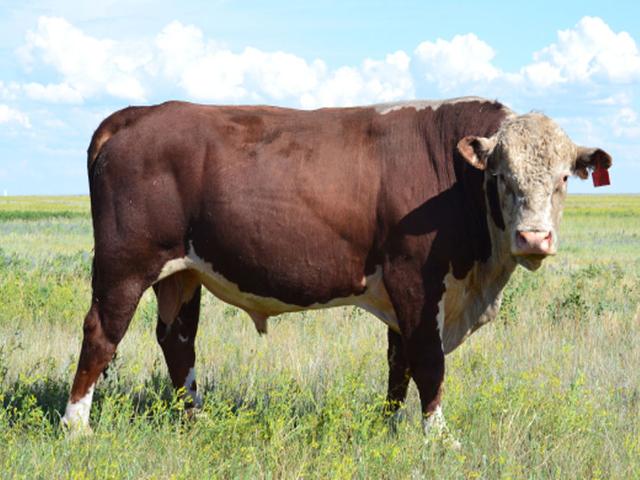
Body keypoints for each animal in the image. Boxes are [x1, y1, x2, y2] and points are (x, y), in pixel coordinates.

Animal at [61, 97, 611, 437]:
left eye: (564, 178)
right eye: (499, 176)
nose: (534, 238)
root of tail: (137, 114)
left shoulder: (405, 294)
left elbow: (400, 363)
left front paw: (388, 428)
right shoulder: (415, 278)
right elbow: (428, 361)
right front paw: (438, 437)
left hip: (181, 272)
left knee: (178, 341)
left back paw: (194, 420)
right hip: (124, 264)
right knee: (101, 333)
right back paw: (76, 427)